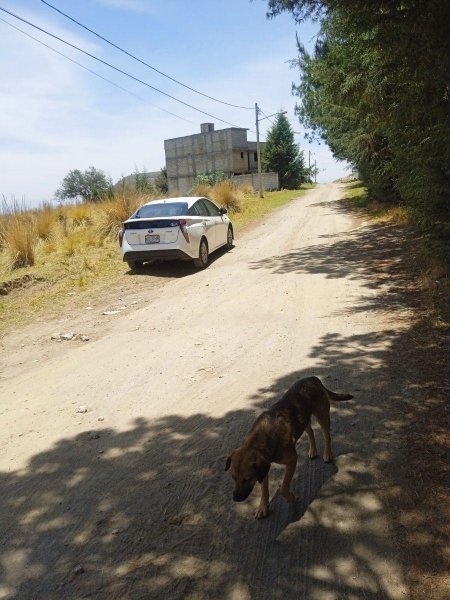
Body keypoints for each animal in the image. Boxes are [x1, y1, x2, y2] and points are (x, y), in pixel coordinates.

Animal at [224, 378, 352, 516]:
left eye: (247, 479)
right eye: (233, 477)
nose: (236, 498)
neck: (262, 438)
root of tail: (313, 378)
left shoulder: (292, 460)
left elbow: (283, 487)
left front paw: (290, 497)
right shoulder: (263, 468)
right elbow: (264, 489)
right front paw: (263, 506)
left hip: (322, 415)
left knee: (326, 435)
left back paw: (327, 454)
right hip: (303, 420)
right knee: (311, 432)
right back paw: (313, 450)